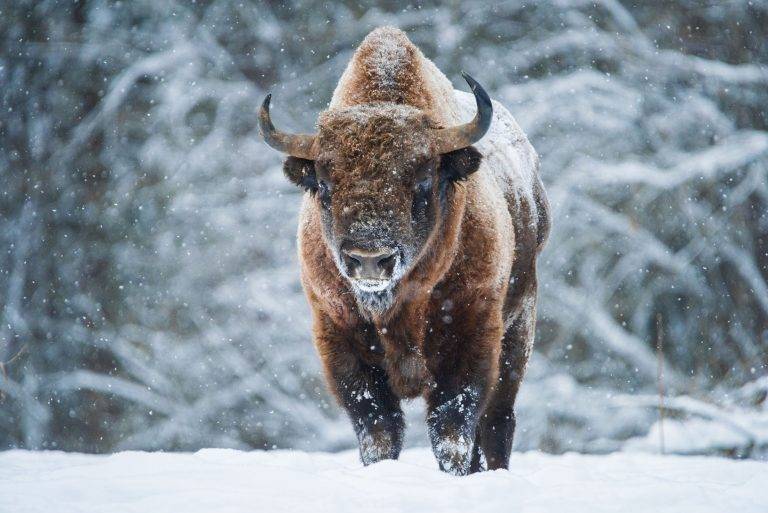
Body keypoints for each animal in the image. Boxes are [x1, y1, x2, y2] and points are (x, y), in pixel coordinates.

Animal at [260, 28, 548, 474]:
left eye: (423, 180)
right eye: (323, 185)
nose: (369, 259)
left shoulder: (472, 337)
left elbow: (452, 429)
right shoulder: (339, 339)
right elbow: (378, 428)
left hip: (519, 329)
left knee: (498, 421)